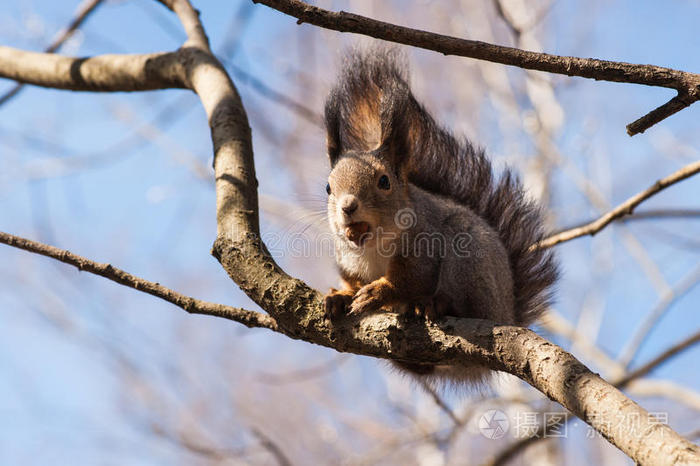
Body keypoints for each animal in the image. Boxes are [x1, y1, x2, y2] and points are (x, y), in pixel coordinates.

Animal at [322, 49, 556, 380]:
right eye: (328, 187)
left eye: (384, 182)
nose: (348, 206)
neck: (372, 245)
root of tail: (508, 310)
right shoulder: (347, 263)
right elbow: (351, 283)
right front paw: (338, 296)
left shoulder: (424, 246)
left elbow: (411, 280)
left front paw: (379, 292)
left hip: (470, 260)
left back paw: (436, 305)